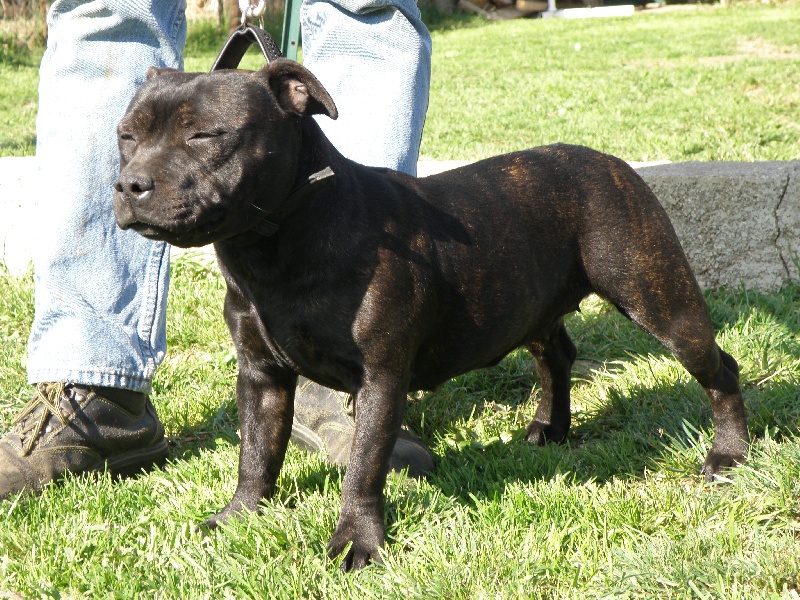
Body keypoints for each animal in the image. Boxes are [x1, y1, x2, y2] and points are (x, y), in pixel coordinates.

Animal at [113, 59, 748, 571]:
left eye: (204, 134)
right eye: (125, 136)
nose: (128, 183)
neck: (274, 242)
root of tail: (612, 162)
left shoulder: (380, 378)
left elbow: (364, 465)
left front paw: (357, 542)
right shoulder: (261, 376)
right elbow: (256, 454)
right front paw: (240, 517)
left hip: (658, 299)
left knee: (719, 369)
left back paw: (729, 454)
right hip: (533, 303)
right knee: (557, 356)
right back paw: (550, 428)